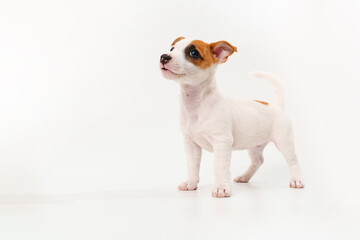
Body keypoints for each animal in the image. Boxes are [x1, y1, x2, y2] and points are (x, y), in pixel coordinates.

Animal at [160, 36, 304, 198]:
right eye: (172, 49)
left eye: (193, 53)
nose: (164, 57)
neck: (197, 103)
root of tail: (276, 106)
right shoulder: (191, 144)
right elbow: (192, 165)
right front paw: (190, 184)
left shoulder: (222, 142)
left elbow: (218, 167)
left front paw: (221, 188)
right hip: (254, 146)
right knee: (258, 161)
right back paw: (244, 177)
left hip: (284, 142)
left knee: (293, 160)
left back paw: (297, 180)